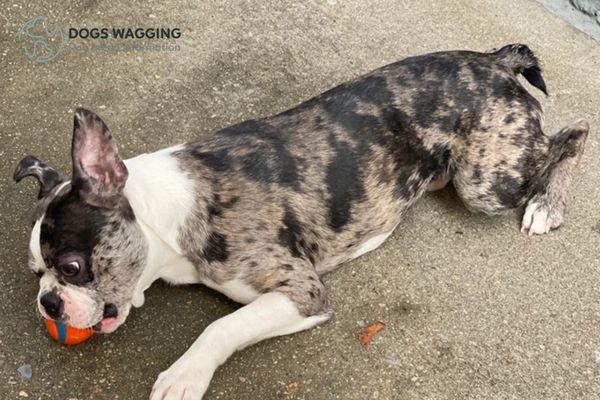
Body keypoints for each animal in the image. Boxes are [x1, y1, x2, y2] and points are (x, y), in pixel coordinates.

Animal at [15, 43, 592, 396]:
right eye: (36, 273)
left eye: (71, 267)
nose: (48, 302)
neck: (168, 217)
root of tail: (493, 60)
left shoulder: (301, 291)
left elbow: (222, 326)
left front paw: (185, 375)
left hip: (487, 181)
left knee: (572, 134)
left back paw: (547, 203)